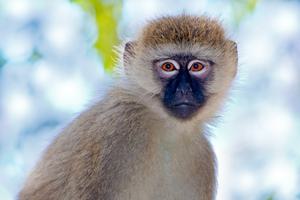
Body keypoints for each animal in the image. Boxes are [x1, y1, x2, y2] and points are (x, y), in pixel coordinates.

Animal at [18, 14, 238, 199]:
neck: (167, 130)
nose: (184, 90)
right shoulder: (118, 127)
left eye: (197, 67)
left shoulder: (202, 157)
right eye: (168, 67)